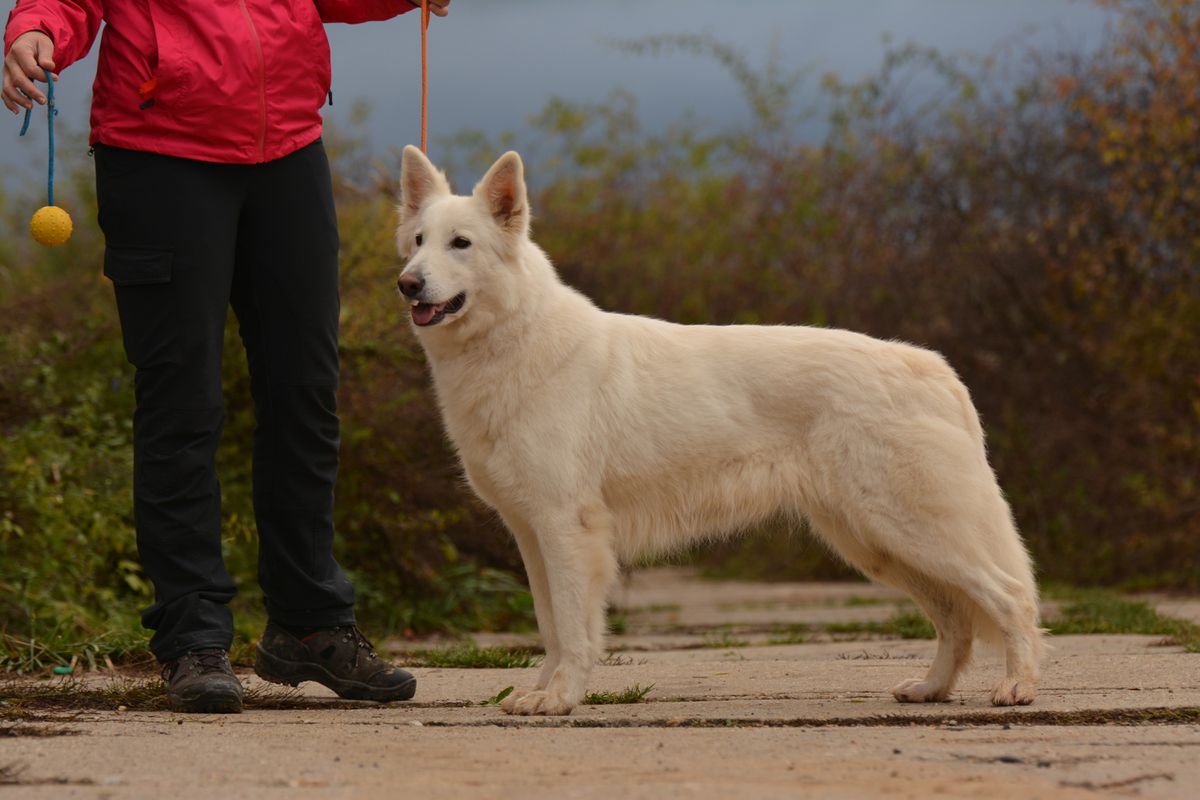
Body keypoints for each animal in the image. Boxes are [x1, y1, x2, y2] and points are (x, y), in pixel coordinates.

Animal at [393, 146, 1041, 714]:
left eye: (461, 244)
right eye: (419, 242)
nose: (407, 283)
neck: (513, 340)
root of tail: (935, 368)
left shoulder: (566, 527)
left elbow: (574, 629)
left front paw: (560, 698)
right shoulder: (532, 533)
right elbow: (551, 627)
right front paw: (544, 690)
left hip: (911, 530)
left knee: (1009, 596)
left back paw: (1018, 687)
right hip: (875, 541)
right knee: (956, 618)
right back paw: (932, 689)